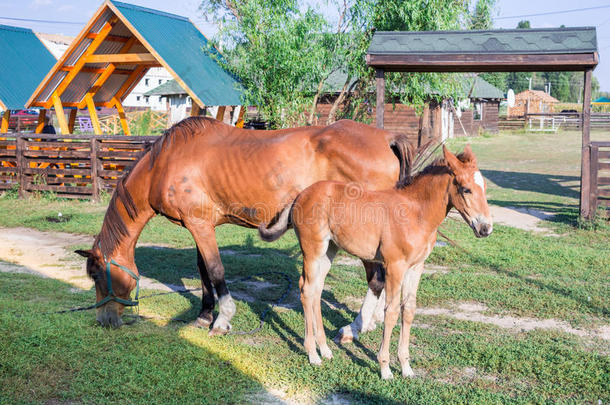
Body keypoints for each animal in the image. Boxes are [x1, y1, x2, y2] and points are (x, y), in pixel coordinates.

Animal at [258, 145, 492, 378]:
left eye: (484, 187)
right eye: (466, 189)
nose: (485, 229)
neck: (415, 213)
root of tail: (301, 194)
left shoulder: (416, 268)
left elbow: (409, 310)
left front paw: (406, 368)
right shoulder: (395, 266)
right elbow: (391, 312)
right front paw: (385, 368)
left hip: (328, 251)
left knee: (316, 289)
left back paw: (324, 350)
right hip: (312, 250)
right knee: (307, 290)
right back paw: (313, 355)